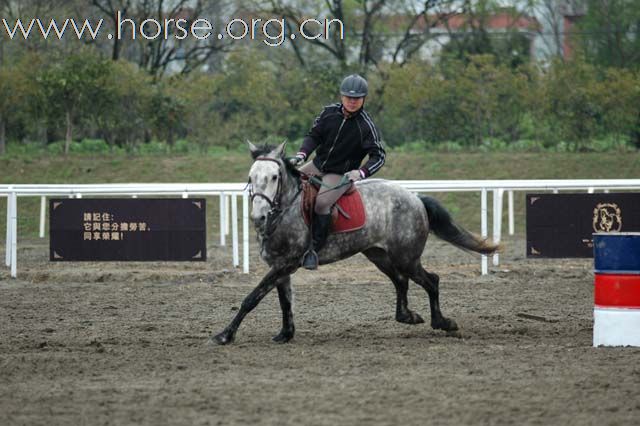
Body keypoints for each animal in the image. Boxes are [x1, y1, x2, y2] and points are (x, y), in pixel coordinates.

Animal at [212, 141, 498, 344]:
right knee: (401, 281)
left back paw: (442, 322)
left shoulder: (285, 264)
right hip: (379, 255)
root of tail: (415, 198)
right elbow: (285, 301)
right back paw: (407, 316)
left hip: (406, 257)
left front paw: (225, 335)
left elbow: (252, 298)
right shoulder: (281, 267)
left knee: (431, 280)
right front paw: (285, 334)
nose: (257, 217)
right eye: (251, 177)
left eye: (274, 177)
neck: (286, 209)